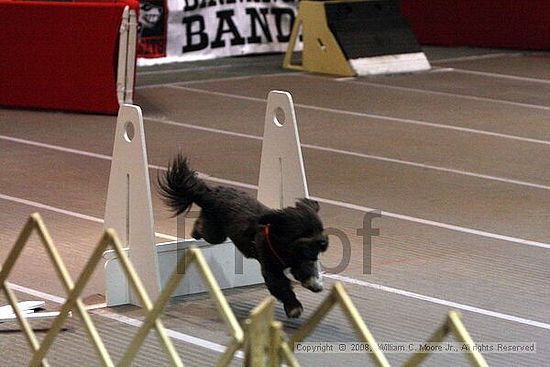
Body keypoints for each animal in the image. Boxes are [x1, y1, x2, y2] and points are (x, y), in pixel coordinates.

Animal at [158, 154, 332, 318]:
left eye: (319, 229)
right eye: (305, 232)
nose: (323, 242)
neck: (283, 245)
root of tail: (212, 192)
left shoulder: (301, 260)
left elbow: (305, 270)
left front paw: (314, 283)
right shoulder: (271, 270)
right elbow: (280, 286)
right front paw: (294, 307)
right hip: (215, 233)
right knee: (203, 228)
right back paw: (195, 230)